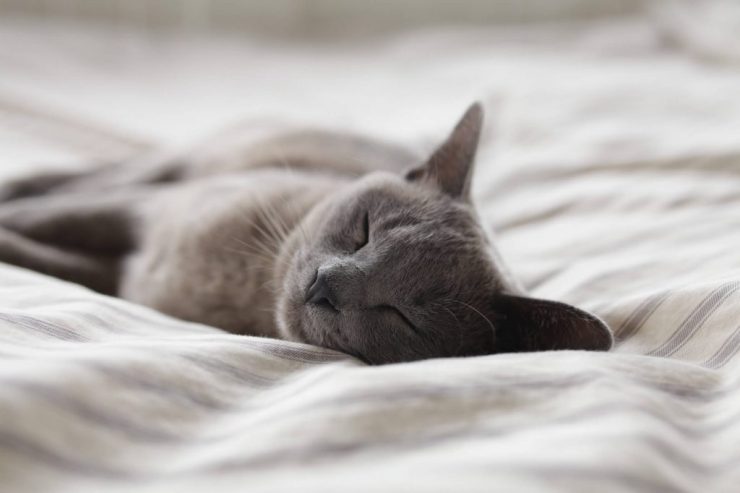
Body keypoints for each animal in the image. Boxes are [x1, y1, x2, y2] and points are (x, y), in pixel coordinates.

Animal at [0, 103, 612, 362]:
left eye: (402, 316)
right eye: (363, 230)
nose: (326, 285)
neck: (244, 287)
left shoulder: (120, 274)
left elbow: (48, 258)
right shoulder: (143, 211)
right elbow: (49, 220)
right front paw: (11, 217)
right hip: (174, 167)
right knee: (90, 176)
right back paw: (20, 181)